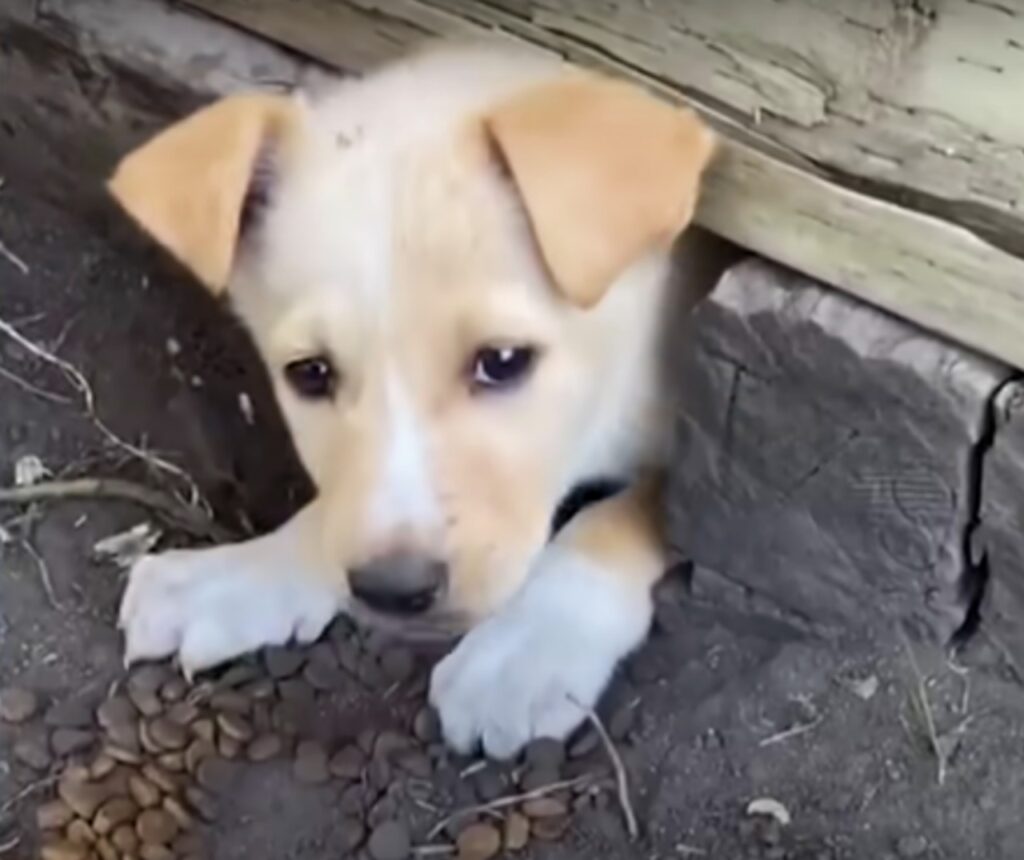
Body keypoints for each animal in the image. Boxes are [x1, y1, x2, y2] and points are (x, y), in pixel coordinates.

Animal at [103, 43, 712, 757]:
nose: (396, 591)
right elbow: (332, 518)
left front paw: (525, 651)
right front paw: (235, 577)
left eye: (503, 361)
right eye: (310, 374)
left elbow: (618, 519)